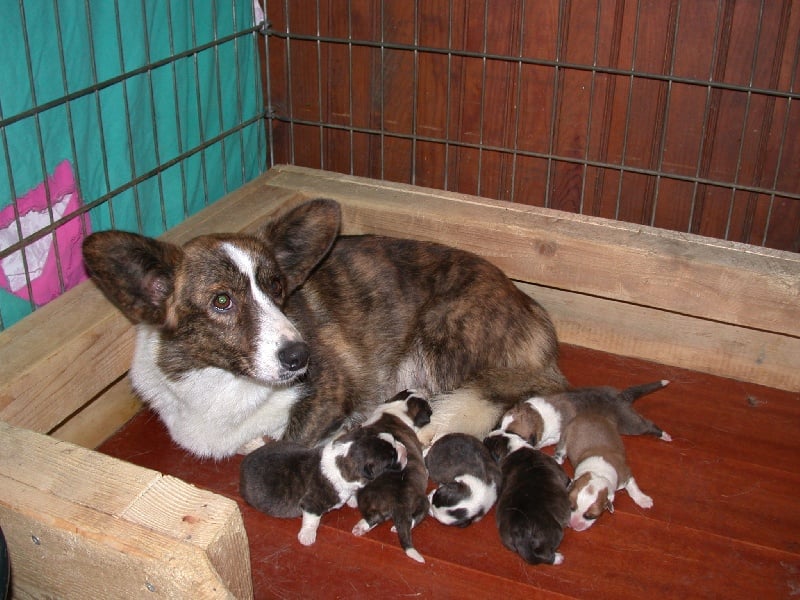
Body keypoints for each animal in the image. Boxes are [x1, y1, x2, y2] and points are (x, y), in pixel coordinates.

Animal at [238, 424, 406, 548]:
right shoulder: (312, 504)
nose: (405, 449)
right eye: (392, 458)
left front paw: (352, 500)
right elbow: (312, 520)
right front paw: (307, 536)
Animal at [352, 390, 434, 564]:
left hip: (367, 499)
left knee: (374, 517)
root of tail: (399, 500)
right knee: (415, 518)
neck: (399, 407)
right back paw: (397, 527)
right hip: (423, 502)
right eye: (428, 408)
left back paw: (361, 527)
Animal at [484, 428, 572, 564]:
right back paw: (557, 558)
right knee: (544, 555)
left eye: (489, 442)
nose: (484, 437)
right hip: (555, 532)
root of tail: (521, 530)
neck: (513, 446)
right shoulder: (563, 475)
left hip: (507, 538)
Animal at [504, 382, 672, 448]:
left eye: (514, 433)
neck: (537, 414)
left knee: (647, 425)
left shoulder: (557, 435)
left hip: (630, 424)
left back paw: (665, 435)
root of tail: (622, 396)